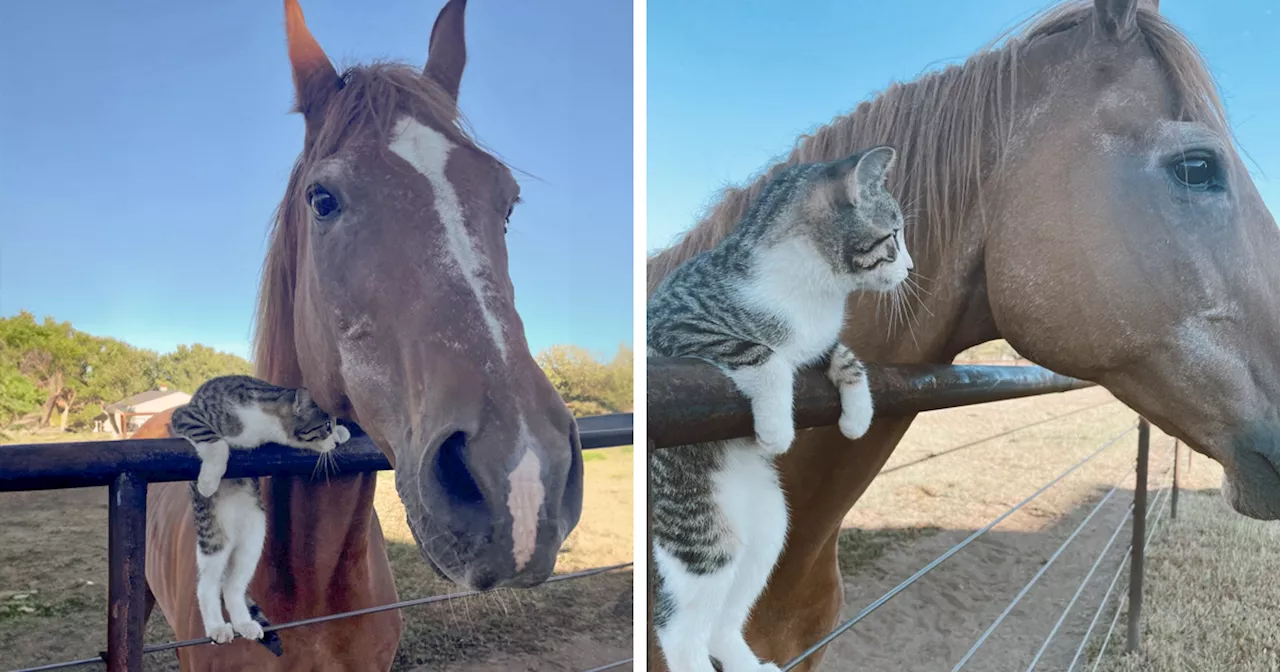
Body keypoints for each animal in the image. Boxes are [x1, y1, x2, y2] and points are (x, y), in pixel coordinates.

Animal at [172, 373, 350, 642]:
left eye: (333, 423)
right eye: (325, 426)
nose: (335, 443)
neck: (265, 426)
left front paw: (343, 433)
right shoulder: (186, 415)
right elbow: (217, 443)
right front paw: (208, 481)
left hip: (253, 538)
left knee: (232, 586)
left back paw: (244, 624)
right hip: (214, 537)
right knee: (207, 586)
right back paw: (216, 627)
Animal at [650, 144, 911, 665]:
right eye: (894, 234)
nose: (911, 268)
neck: (814, 290)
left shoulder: (819, 340)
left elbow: (843, 355)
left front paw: (857, 415)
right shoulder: (673, 323)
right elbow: (762, 355)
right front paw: (776, 428)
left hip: (770, 521)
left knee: (725, 619)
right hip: (700, 526)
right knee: (680, 632)